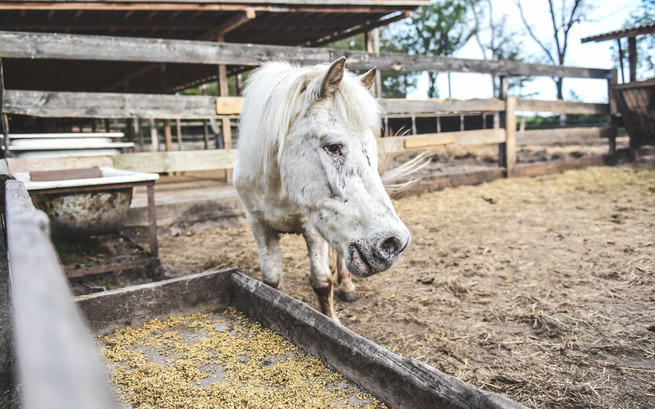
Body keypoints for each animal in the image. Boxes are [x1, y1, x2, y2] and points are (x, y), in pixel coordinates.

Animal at [234, 56, 410, 318]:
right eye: (334, 147)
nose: (393, 243)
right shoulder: (258, 224)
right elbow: (271, 281)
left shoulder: (314, 226)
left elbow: (321, 283)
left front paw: (332, 320)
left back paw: (347, 287)